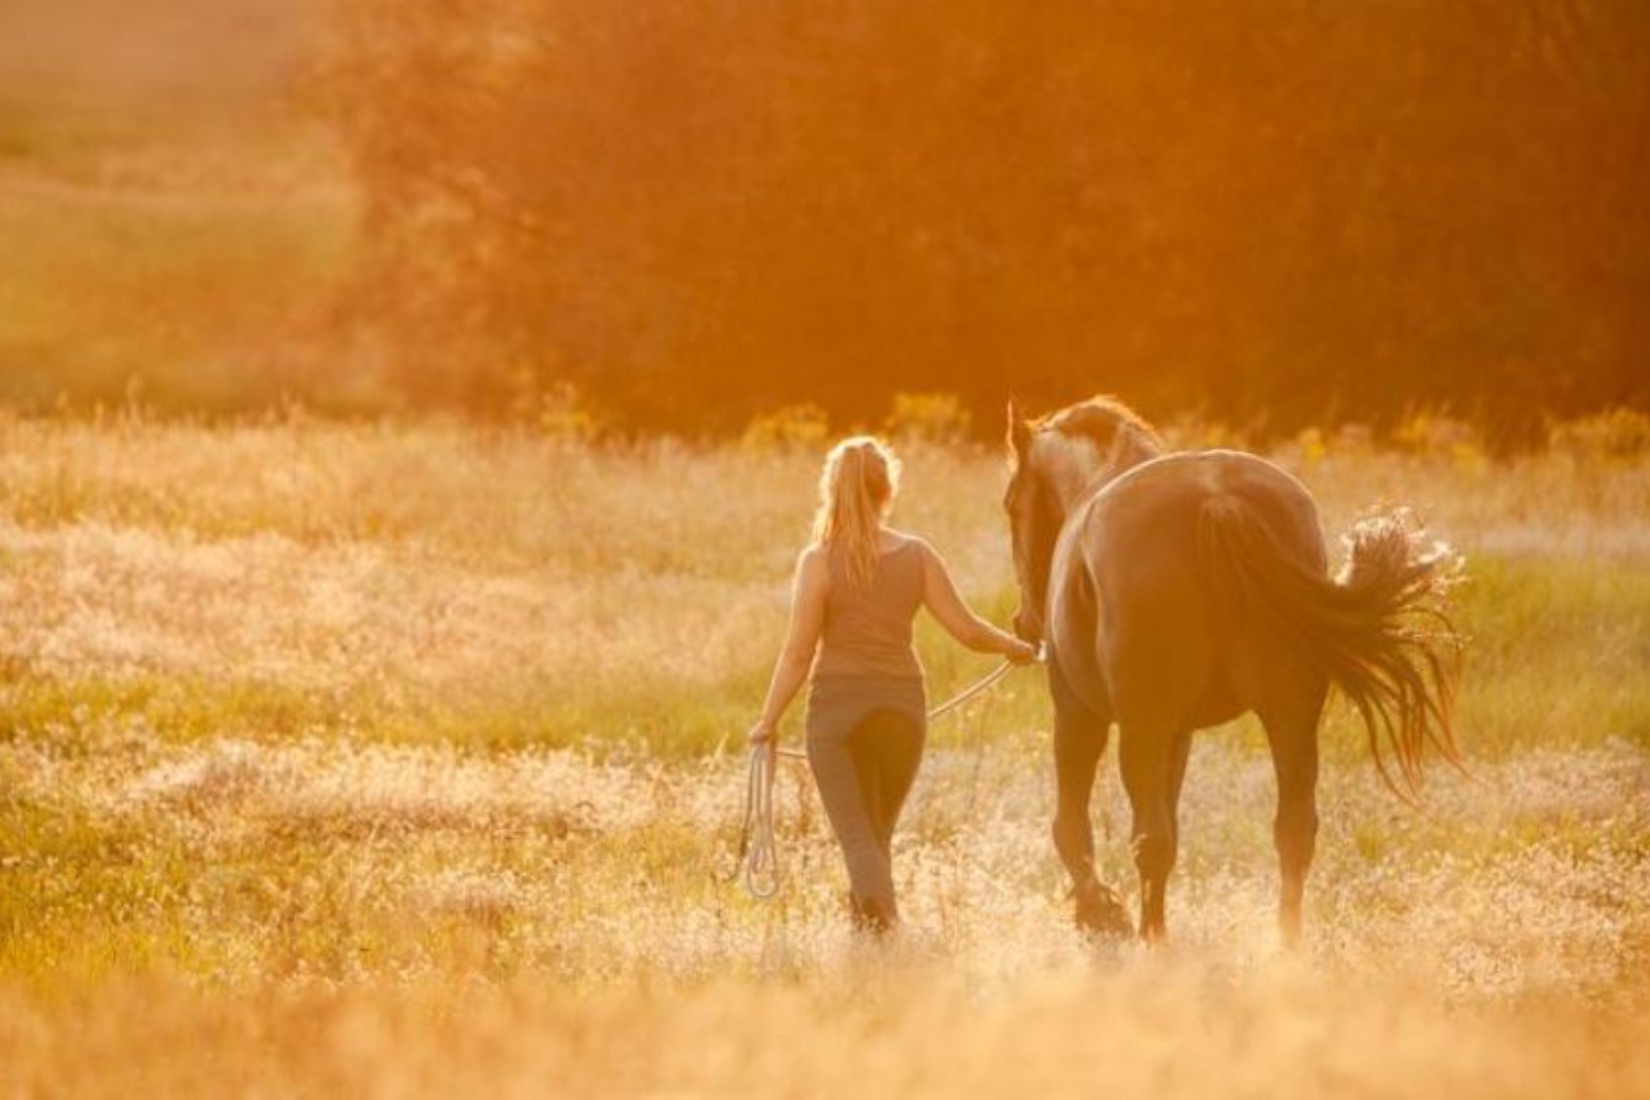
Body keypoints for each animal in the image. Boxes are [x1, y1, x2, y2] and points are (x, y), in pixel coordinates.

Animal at [1003, 397, 1458, 949]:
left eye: (1010, 505)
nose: (1024, 624)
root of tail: (1217, 502)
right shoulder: (1179, 734)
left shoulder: (1079, 714)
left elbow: (1070, 826)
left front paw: (1099, 912)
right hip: (1288, 717)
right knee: (1292, 832)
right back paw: (1284, 948)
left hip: (1143, 730)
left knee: (1149, 839)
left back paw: (1154, 942)